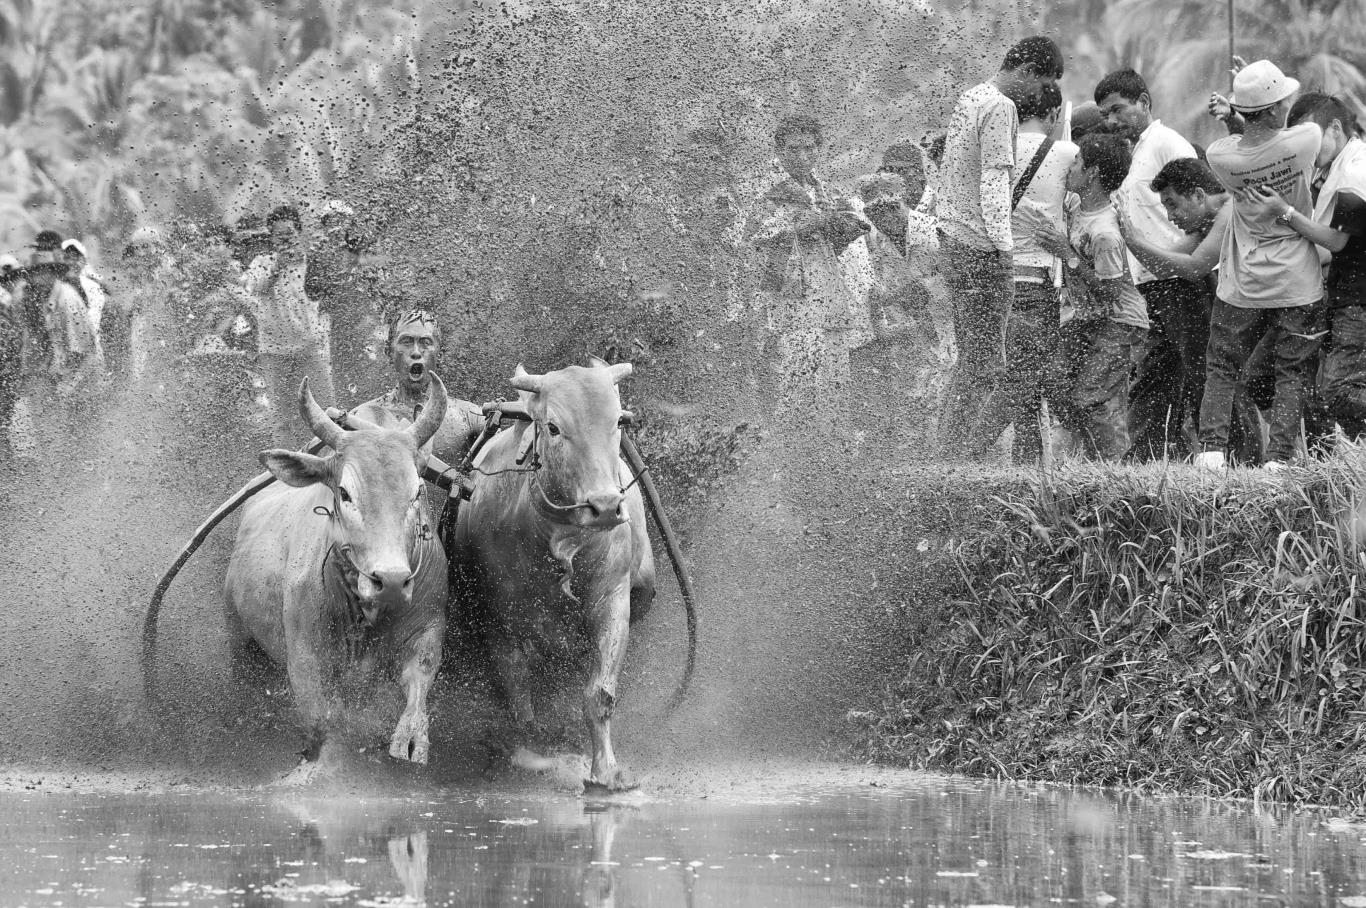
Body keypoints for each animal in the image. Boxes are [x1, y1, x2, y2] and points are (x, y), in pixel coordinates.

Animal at [453, 357, 655, 791]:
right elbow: (519, 698)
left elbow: (600, 694)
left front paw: (606, 773)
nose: (605, 506)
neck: (561, 546)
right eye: (554, 427)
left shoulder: (613, 602)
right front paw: (533, 756)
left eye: (617, 421)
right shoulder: (500, 617)